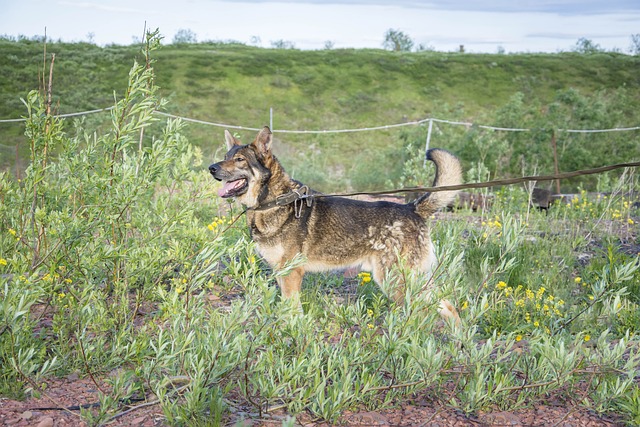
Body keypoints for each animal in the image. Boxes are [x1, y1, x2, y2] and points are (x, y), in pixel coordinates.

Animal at [211, 127, 464, 324]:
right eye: (225, 156)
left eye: (240, 160)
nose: (211, 168)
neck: (275, 201)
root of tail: (413, 208)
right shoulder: (281, 273)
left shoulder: (292, 273)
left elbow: (292, 311)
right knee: (448, 306)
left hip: (395, 281)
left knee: (422, 312)